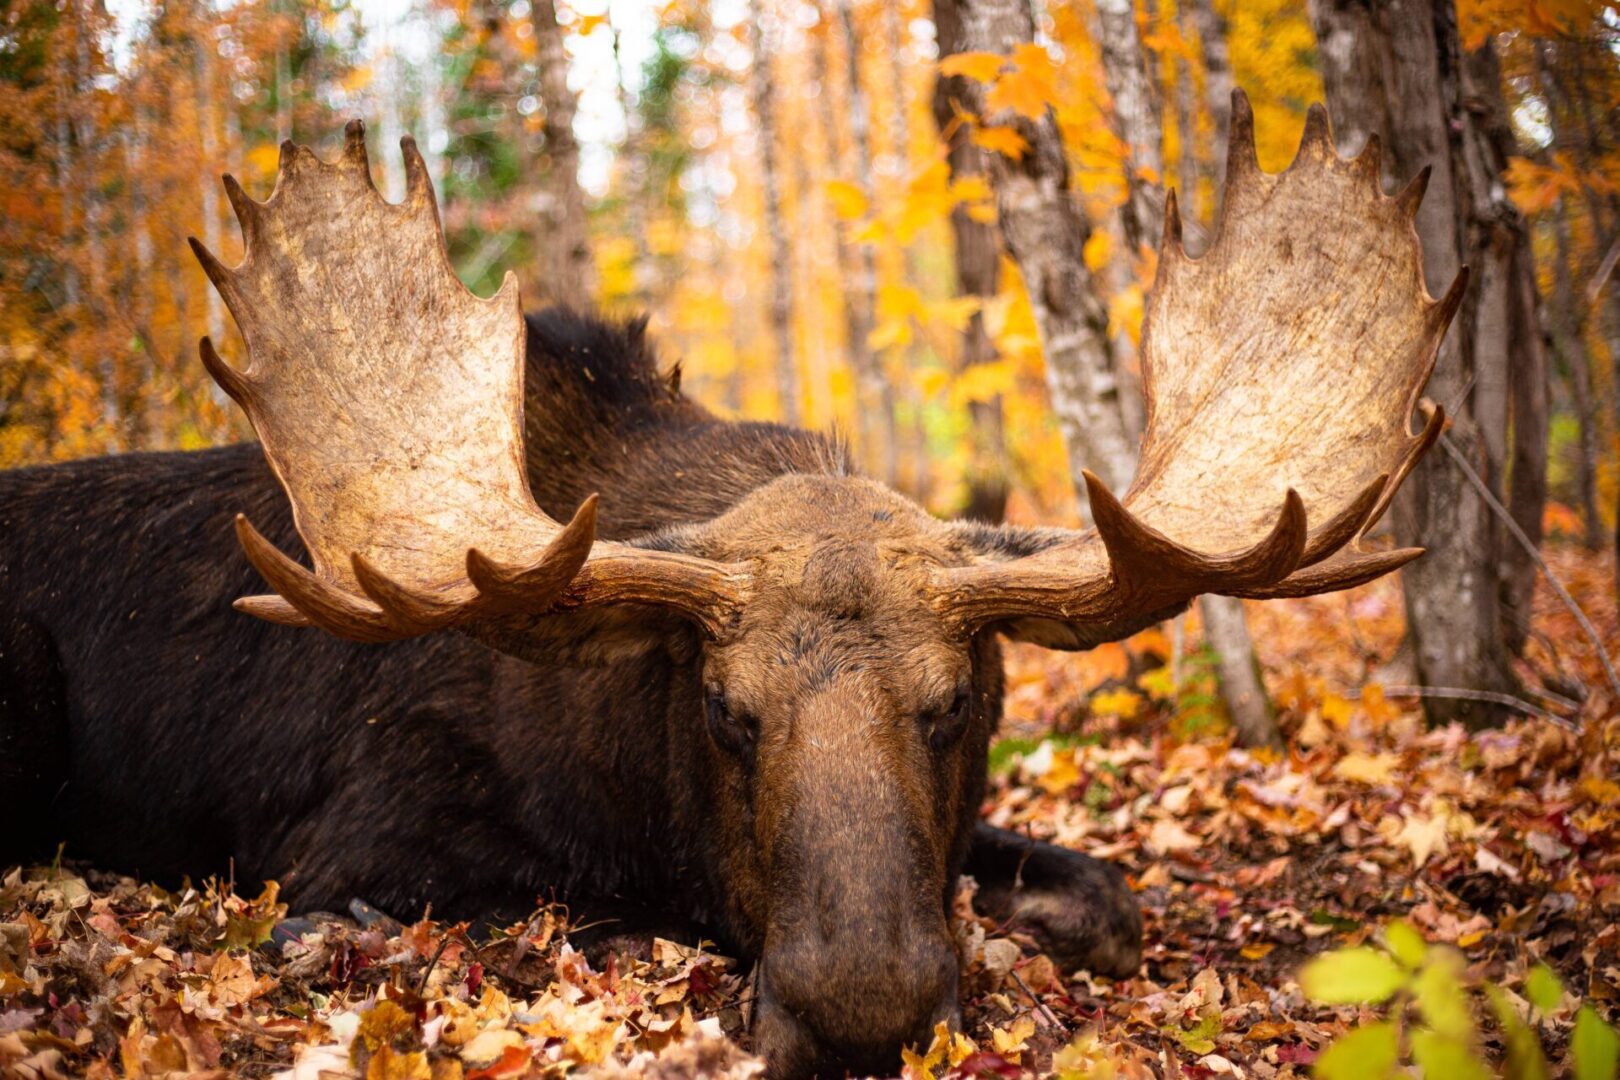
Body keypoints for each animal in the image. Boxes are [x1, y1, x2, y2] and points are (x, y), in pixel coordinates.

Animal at [0, 95, 1464, 1080]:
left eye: (954, 706)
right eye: (725, 711)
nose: (864, 1012)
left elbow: (1109, 895)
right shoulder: (350, 854)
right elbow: (613, 924)